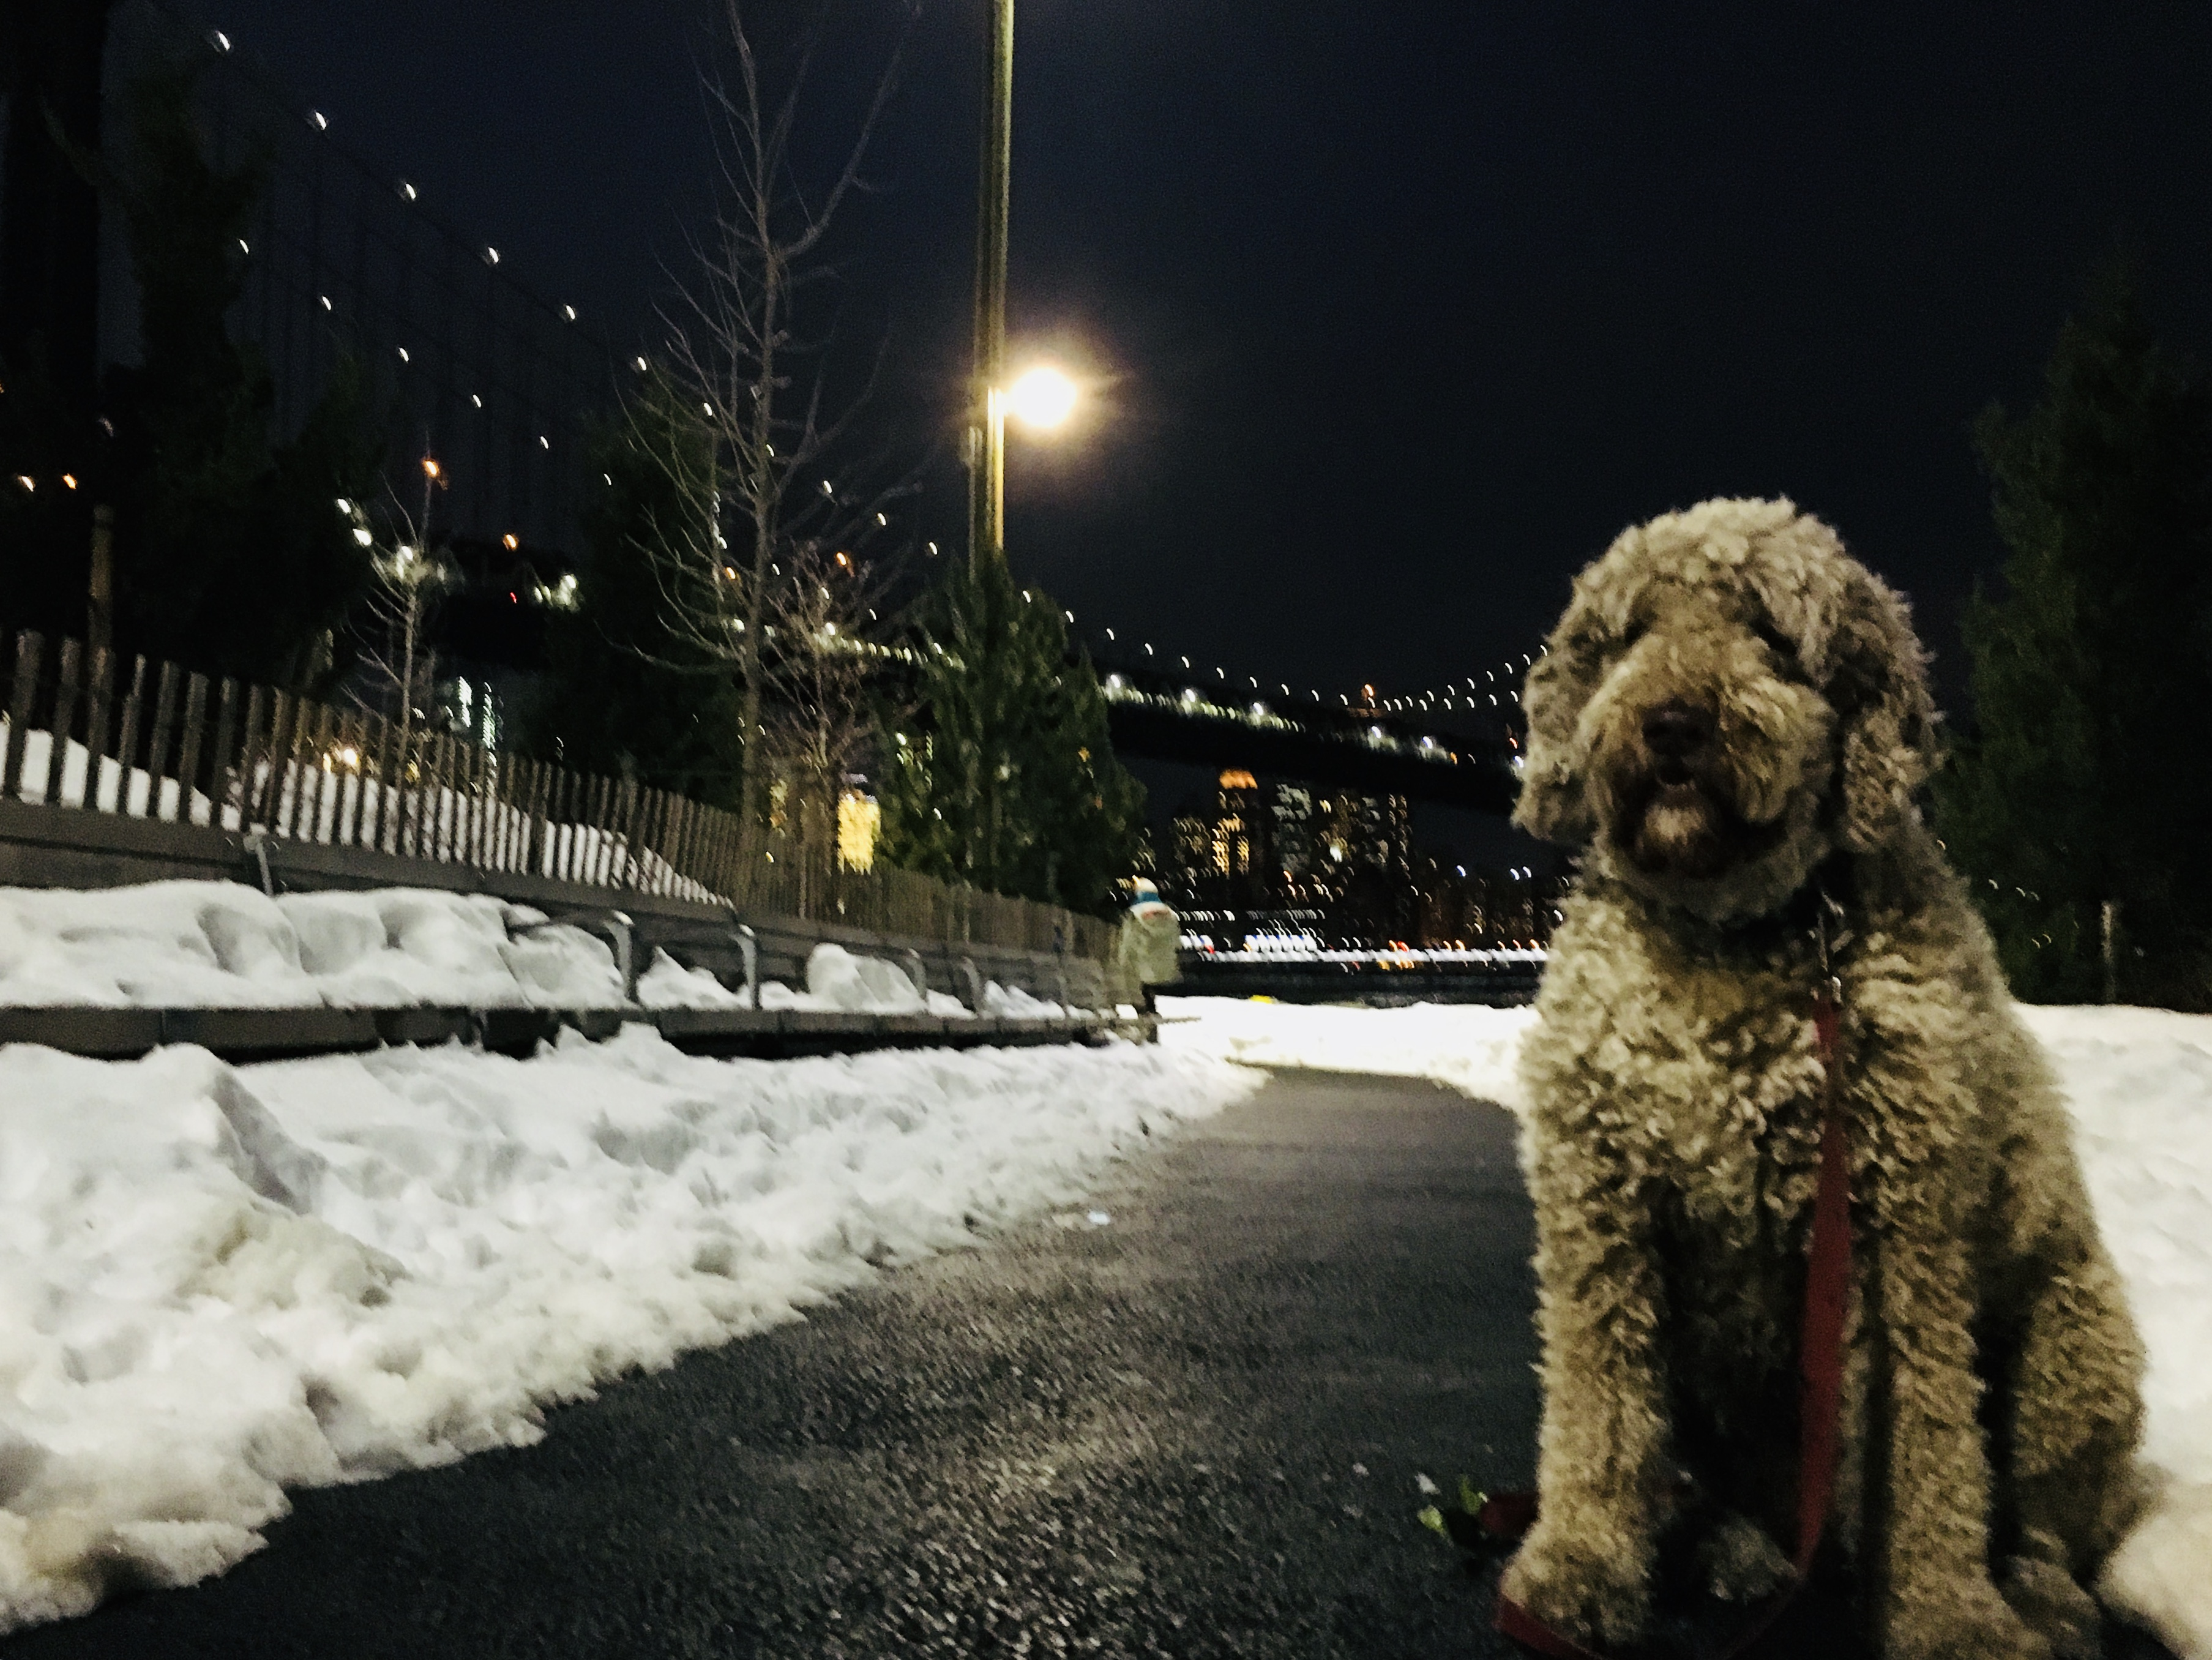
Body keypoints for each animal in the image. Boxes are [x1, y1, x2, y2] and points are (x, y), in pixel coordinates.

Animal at [1504, 500, 2141, 1655]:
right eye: (1629, 633)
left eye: (1766, 630)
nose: (1671, 723)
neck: (1732, 937)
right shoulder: (1600, 1211)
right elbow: (1598, 1409)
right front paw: (1578, 1564)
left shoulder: (1901, 1228)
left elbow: (1929, 1448)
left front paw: (1945, 1616)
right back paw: (1738, 1548)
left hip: (2074, 1349)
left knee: (2036, 1512)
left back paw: (2031, 1591)